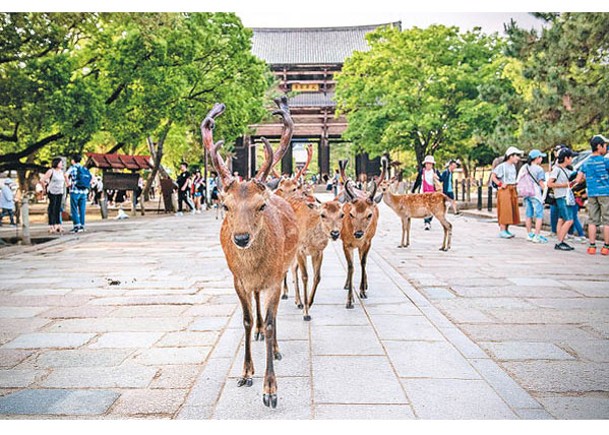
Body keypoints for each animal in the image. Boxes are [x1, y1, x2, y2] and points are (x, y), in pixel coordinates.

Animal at [201, 98, 298, 408]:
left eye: (261, 206)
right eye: (226, 205)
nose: (241, 238)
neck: (253, 268)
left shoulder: (275, 278)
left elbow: (270, 322)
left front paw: (270, 390)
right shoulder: (238, 280)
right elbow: (246, 320)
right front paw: (245, 373)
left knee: (271, 317)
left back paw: (276, 348)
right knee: (256, 310)